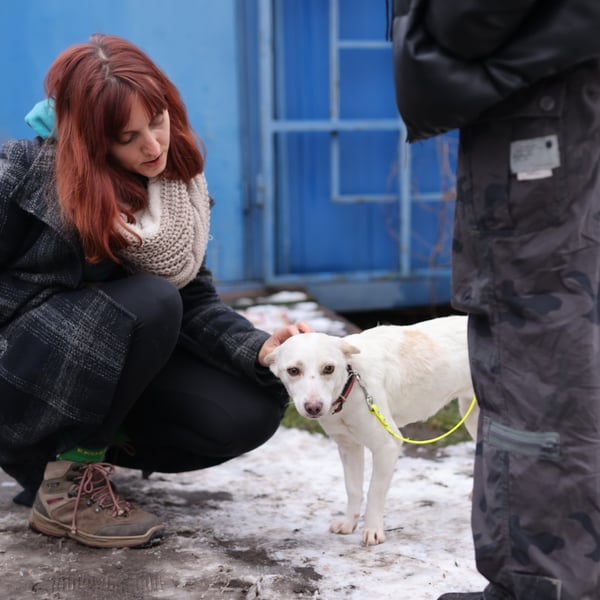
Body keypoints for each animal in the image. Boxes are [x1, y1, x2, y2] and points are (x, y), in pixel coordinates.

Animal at [264, 315, 479, 546]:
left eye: (329, 368)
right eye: (293, 371)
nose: (314, 407)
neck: (350, 385)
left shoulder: (387, 446)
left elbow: (374, 491)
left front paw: (373, 530)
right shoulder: (348, 447)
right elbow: (353, 489)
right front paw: (349, 523)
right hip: (471, 416)